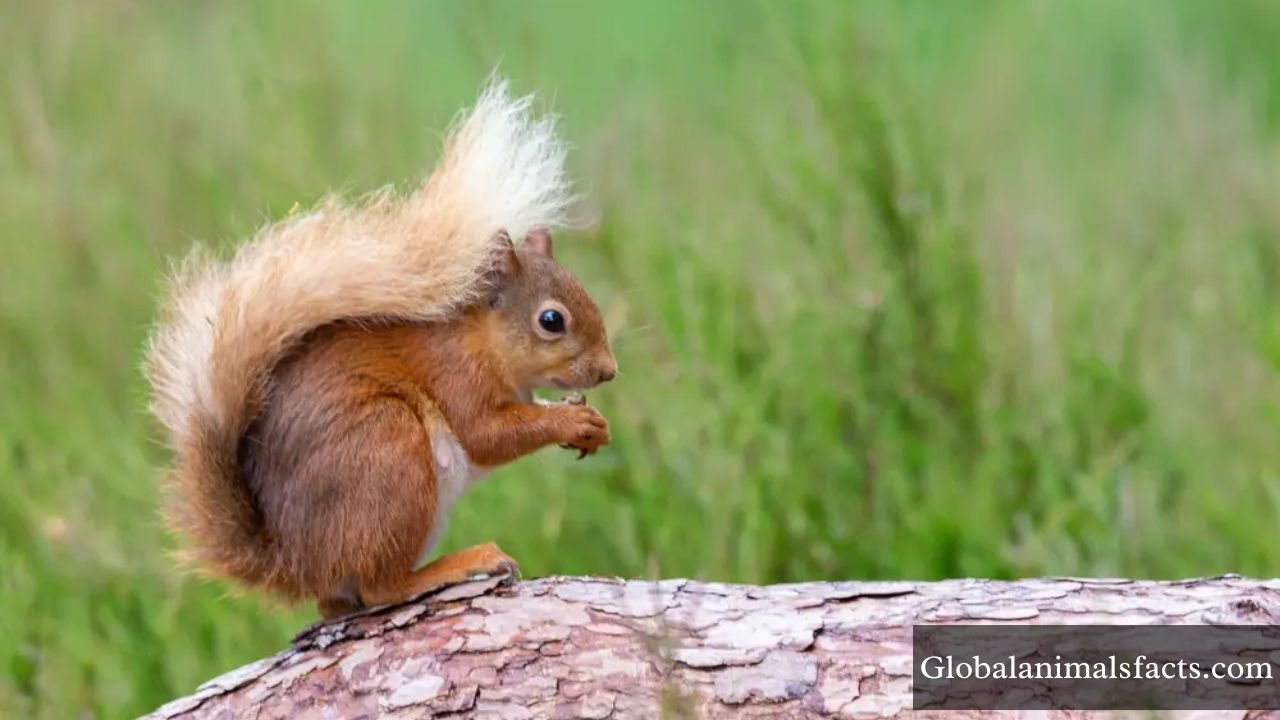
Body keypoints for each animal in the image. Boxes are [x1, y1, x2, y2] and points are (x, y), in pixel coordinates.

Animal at [143, 79, 617, 619]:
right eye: (551, 320)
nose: (609, 371)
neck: (483, 341)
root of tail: (293, 561)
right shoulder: (457, 373)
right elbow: (487, 434)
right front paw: (571, 421)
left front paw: (592, 426)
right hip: (388, 451)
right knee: (379, 588)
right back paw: (461, 563)